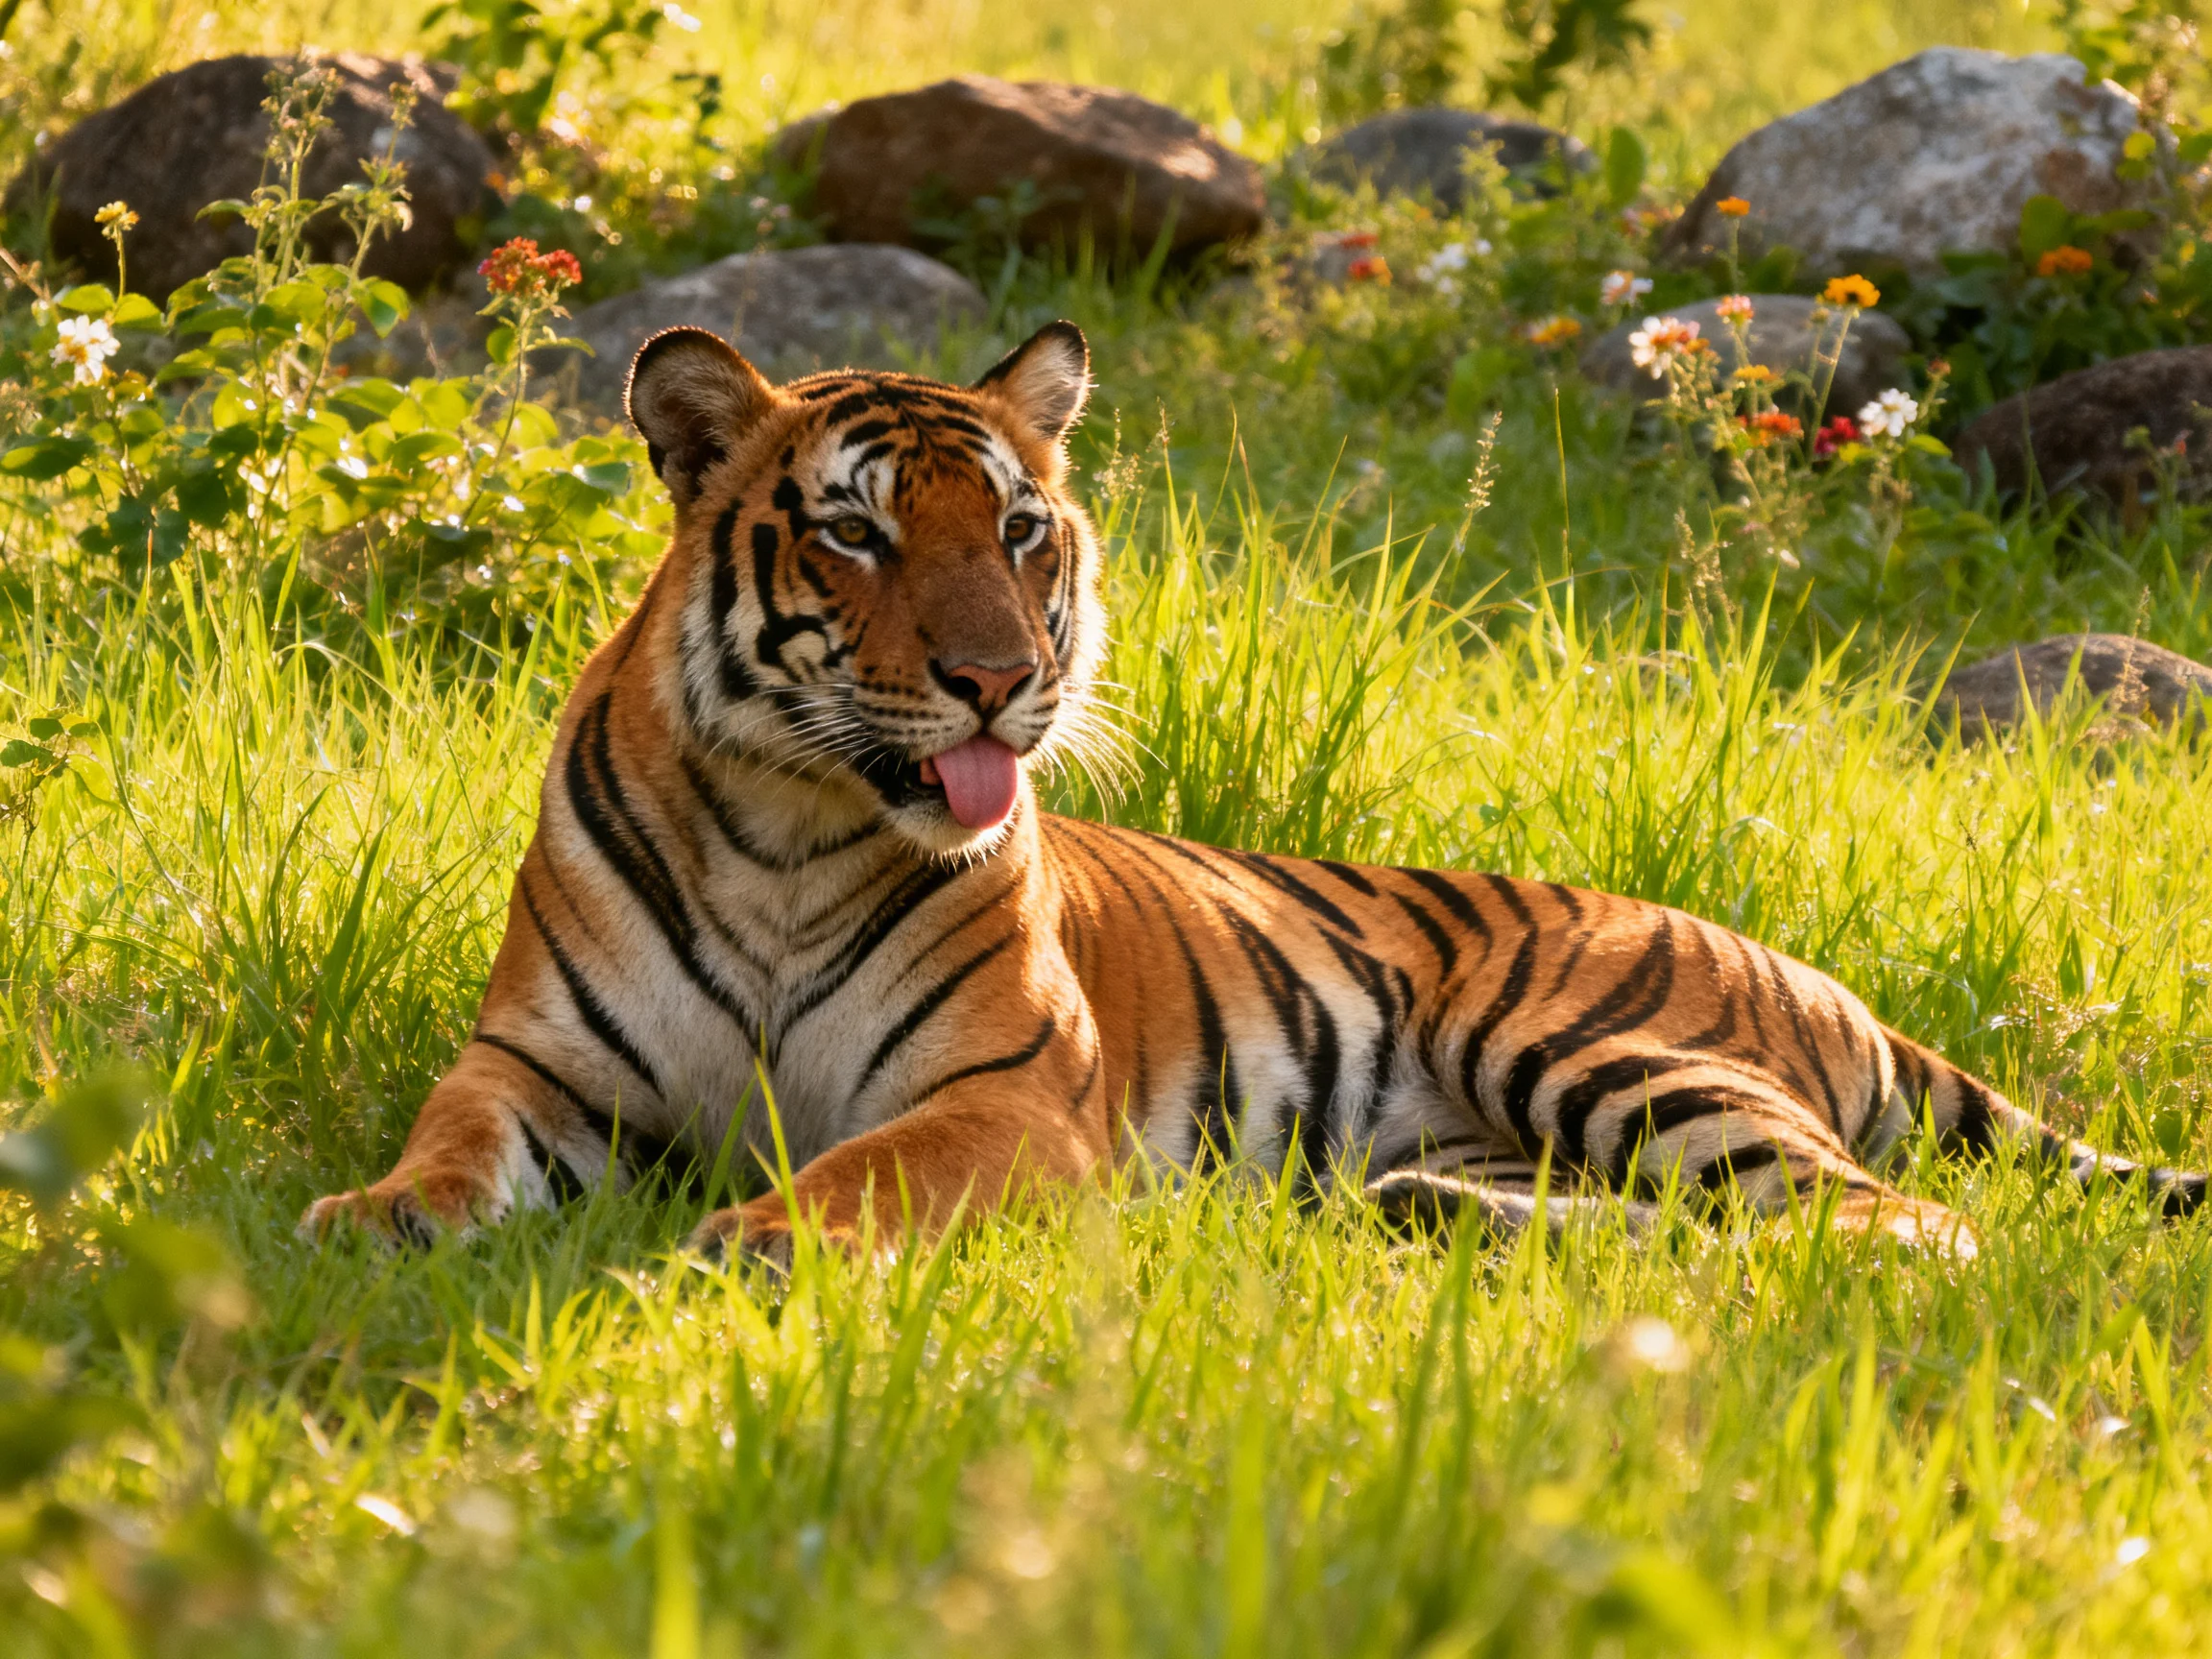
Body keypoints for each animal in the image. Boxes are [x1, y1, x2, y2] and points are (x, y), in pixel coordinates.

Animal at [302, 320, 2207, 1266]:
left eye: (1017, 527)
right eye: (853, 531)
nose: (999, 673)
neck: (789, 827)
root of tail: (1818, 974)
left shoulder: (1004, 1098)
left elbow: (851, 1181)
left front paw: (727, 1252)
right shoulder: (537, 1064)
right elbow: (450, 1143)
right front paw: (372, 1219)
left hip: (1599, 1045)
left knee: (1904, 1225)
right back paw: (1444, 1222)